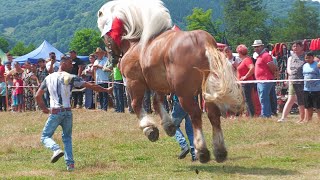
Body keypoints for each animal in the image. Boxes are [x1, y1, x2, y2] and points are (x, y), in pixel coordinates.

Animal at [97, 0, 242, 163]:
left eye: (104, 36)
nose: (111, 59)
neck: (135, 43)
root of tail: (202, 41)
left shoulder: (134, 82)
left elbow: (136, 105)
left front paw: (149, 129)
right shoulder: (160, 86)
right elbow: (156, 102)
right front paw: (169, 125)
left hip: (184, 94)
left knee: (196, 115)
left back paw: (202, 150)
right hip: (207, 92)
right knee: (213, 115)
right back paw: (219, 150)